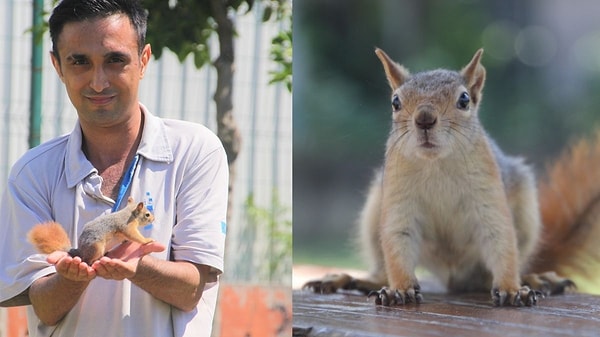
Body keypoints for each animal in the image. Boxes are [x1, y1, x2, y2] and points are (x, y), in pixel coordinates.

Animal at [27, 196, 155, 264]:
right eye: (147, 214)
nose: (154, 218)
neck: (130, 213)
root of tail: (80, 251)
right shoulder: (127, 226)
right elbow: (134, 235)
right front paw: (147, 240)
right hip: (96, 247)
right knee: (87, 260)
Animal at [302, 48, 584, 308]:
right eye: (395, 102)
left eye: (464, 99)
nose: (424, 119)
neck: (435, 164)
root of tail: (453, 277)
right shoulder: (397, 197)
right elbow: (397, 239)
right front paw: (400, 289)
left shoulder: (488, 191)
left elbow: (499, 237)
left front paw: (513, 288)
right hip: (373, 218)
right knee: (382, 270)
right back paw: (353, 279)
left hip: (525, 215)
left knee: (488, 276)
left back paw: (534, 279)